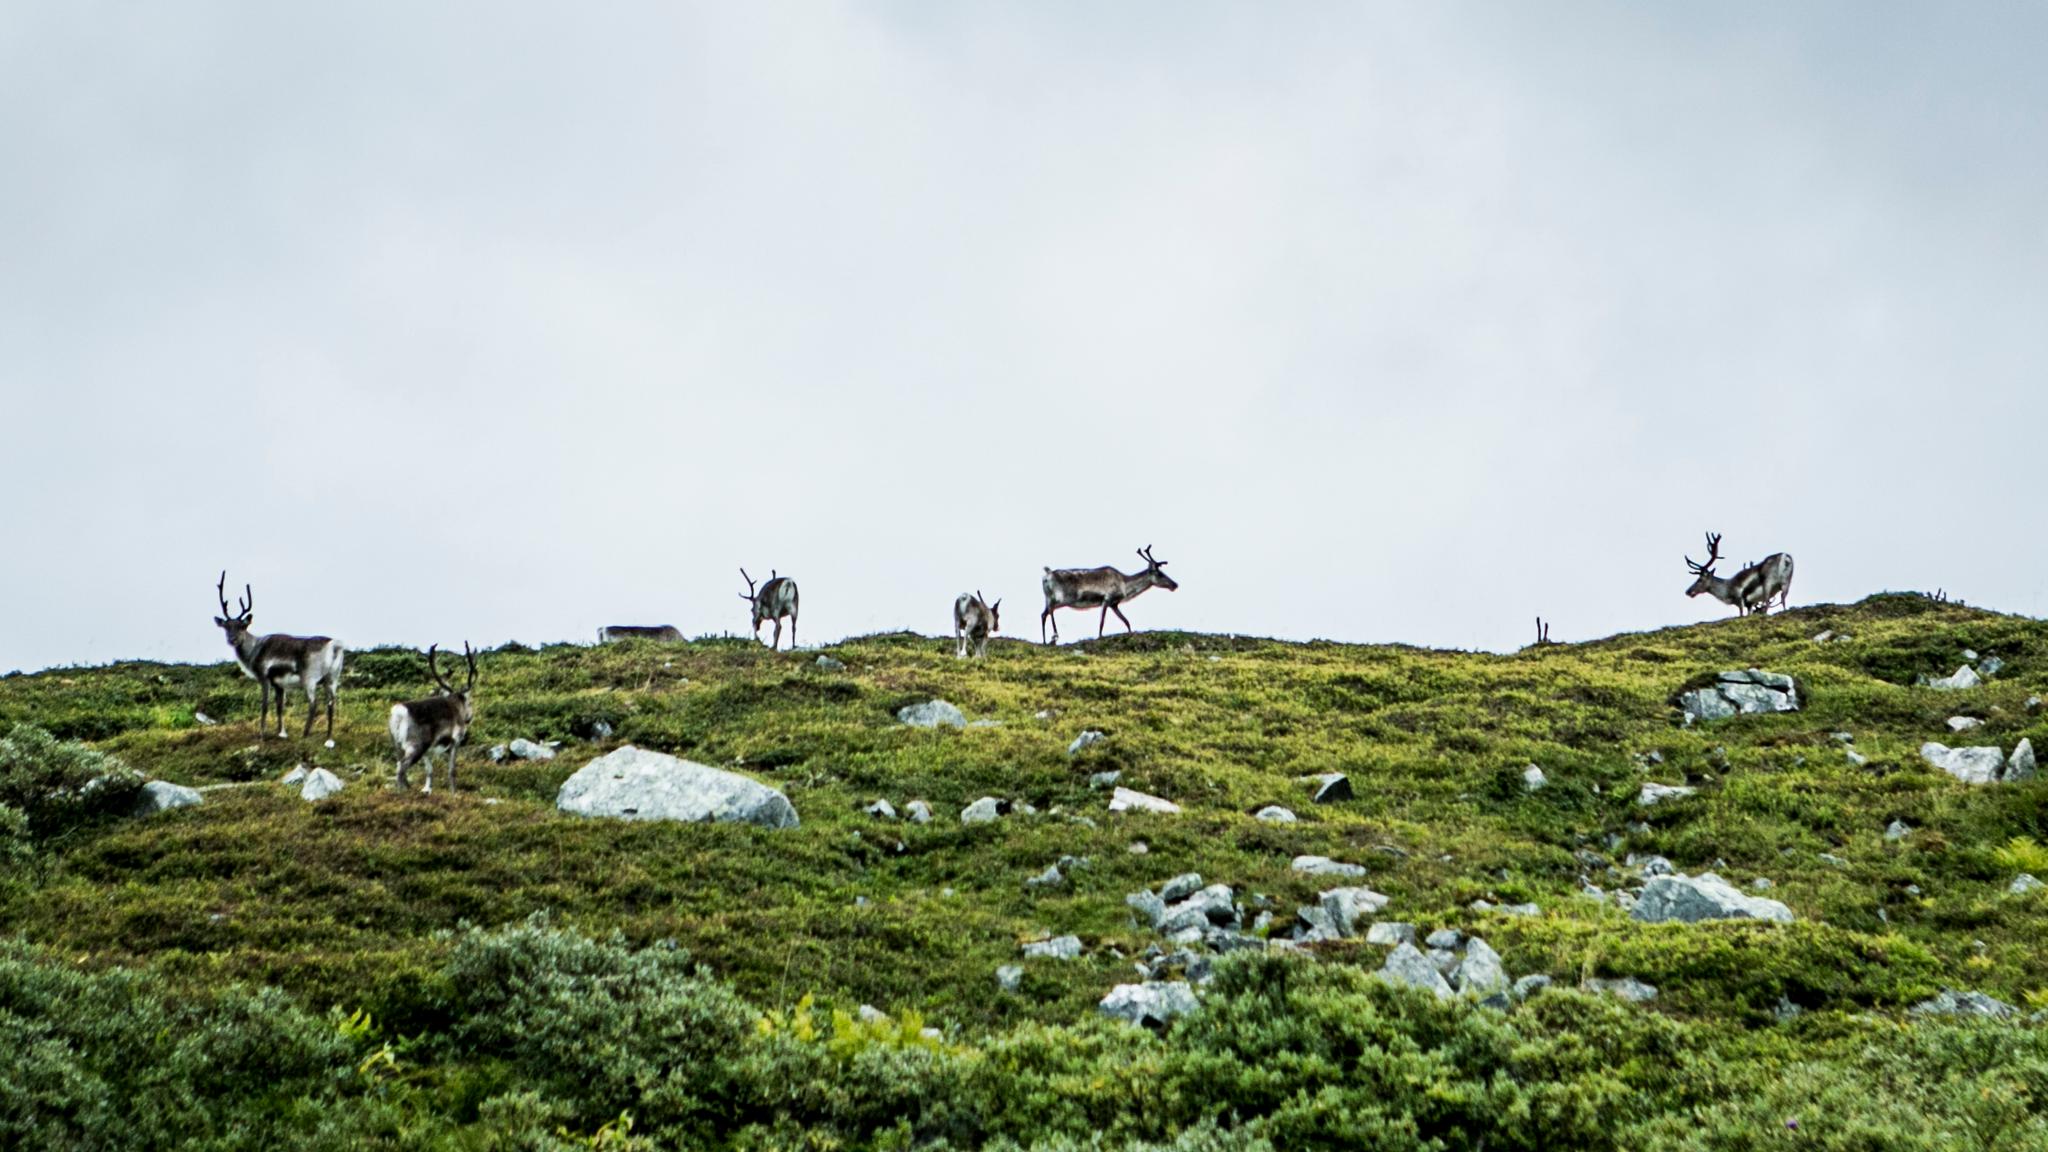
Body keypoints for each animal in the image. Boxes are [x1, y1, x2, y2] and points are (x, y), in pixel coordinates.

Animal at [212, 571, 345, 745]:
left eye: (242, 626)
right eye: (226, 627)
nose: (232, 639)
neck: (254, 649)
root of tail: (335, 646)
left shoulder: (264, 677)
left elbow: (265, 705)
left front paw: (261, 735)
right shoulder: (279, 685)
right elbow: (279, 706)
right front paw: (281, 733)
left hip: (310, 677)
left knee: (313, 703)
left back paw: (305, 734)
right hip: (332, 678)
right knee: (331, 702)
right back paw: (329, 739)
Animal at [389, 643, 477, 794]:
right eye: (470, 702)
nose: (469, 718)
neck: (456, 706)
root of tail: (400, 713)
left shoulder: (428, 751)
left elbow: (429, 770)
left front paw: (427, 790)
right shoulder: (456, 740)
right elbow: (451, 770)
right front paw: (454, 793)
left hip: (398, 745)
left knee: (399, 765)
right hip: (416, 745)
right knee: (401, 769)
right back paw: (403, 793)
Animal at [1040, 545, 1179, 643]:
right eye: (1160, 574)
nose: (1175, 584)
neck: (1125, 585)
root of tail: (1046, 575)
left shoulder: (1114, 604)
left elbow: (1127, 621)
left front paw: (1130, 634)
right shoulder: (1107, 599)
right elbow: (1102, 621)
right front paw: (1099, 636)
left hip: (1048, 598)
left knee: (1043, 614)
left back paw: (1045, 641)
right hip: (1060, 598)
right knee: (1050, 611)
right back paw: (1054, 635)